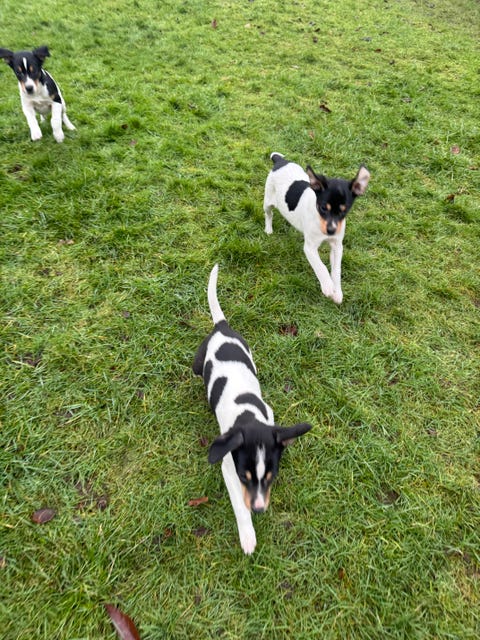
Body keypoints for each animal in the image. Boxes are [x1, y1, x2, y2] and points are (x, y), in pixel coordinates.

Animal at [193, 264, 312, 554]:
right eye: (244, 477)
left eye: (271, 476)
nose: (259, 509)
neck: (249, 416)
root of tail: (222, 327)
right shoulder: (228, 468)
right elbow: (239, 505)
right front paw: (247, 534)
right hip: (197, 363)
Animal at [263, 153, 370, 304]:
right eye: (323, 208)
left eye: (344, 211)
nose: (331, 230)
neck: (320, 220)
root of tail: (280, 161)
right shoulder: (310, 248)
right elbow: (321, 266)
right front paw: (328, 286)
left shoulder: (337, 246)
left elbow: (336, 270)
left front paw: (337, 292)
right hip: (268, 201)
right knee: (269, 214)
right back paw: (268, 229)